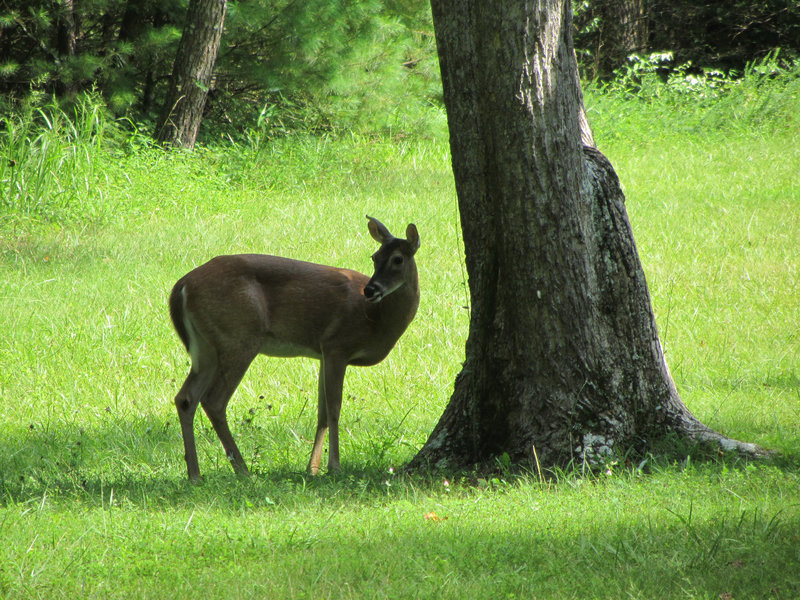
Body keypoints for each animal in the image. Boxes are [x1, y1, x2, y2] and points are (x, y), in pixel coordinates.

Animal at [168, 214, 418, 478]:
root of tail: (180, 286)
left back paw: (195, 474)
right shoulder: (337, 345)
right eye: (375, 257)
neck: (375, 319)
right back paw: (243, 471)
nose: (370, 289)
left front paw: (313, 468)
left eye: (397, 259)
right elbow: (334, 408)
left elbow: (322, 413)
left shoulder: (323, 354)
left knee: (186, 398)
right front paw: (334, 467)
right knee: (214, 400)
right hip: (239, 337)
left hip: (205, 348)